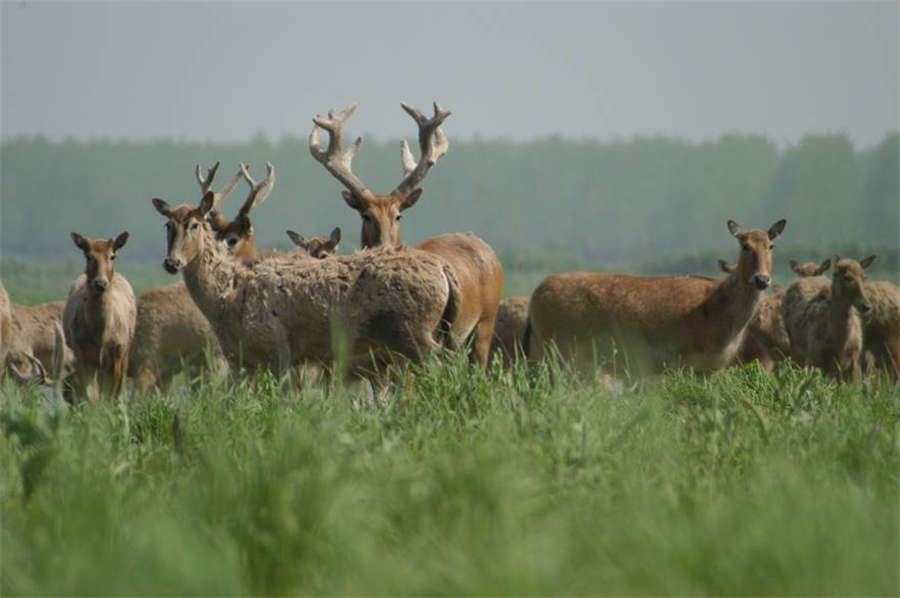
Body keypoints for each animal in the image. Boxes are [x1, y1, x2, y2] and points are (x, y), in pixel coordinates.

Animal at [63, 232, 137, 400]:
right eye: (88, 256)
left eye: (112, 256)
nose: (100, 283)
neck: (101, 336)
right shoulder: (82, 355)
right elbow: (90, 397)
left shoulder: (117, 354)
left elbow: (109, 397)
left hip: (126, 350)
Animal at [528, 220, 788, 380]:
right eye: (744, 245)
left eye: (771, 245)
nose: (762, 279)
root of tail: (535, 295)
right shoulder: (685, 359)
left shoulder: (713, 367)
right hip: (557, 351)